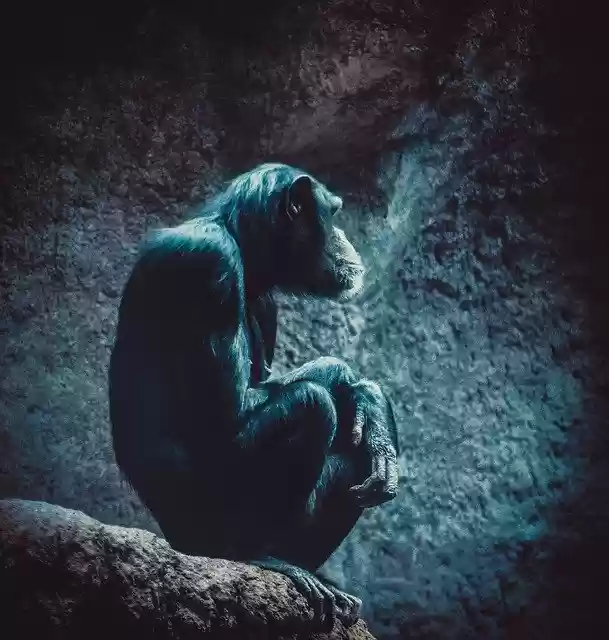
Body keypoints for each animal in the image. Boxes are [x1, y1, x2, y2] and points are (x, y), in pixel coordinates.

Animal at [109, 163, 400, 628]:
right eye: (334, 212)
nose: (344, 235)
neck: (247, 249)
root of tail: (175, 540)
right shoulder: (209, 264)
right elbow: (225, 409)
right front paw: (358, 386)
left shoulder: (267, 304)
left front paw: (372, 409)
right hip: (203, 527)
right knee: (312, 405)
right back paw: (254, 557)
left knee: (353, 458)